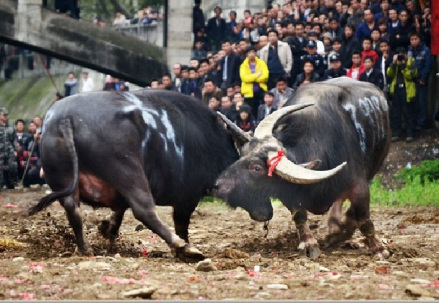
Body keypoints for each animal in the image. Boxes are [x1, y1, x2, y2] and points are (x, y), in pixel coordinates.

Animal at [26, 89, 241, 262]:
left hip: (64, 177)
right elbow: (181, 223)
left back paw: (85, 248)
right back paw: (183, 247)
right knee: (144, 210)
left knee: (73, 209)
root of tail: (66, 117)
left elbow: (119, 211)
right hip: (128, 169)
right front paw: (183, 245)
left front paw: (107, 229)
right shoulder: (188, 196)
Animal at [215, 78, 390, 258]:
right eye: (242, 155)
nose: (218, 186)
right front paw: (309, 244)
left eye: (257, 168)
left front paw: (379, 249)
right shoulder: (290, 193)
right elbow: (299, 215)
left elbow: (363, 219)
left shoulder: (359, 185)